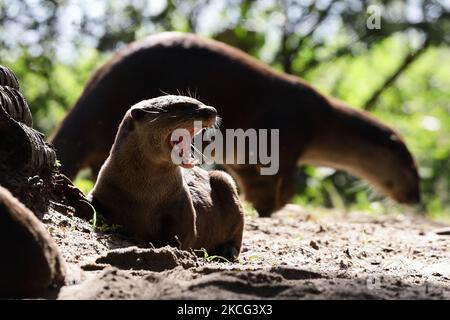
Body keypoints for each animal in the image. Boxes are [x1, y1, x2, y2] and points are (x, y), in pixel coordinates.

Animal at [51, 31, 420, 218]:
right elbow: (274, 185)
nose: (416, 196)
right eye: (412, 170)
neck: (320, 122)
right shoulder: (285, 137)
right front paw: (274, 209)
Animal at [88, 94, 243, 260]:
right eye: (180, 106)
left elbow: (185, 236)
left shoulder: (182, 202)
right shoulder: (103, 188)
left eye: (199, 102)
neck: (145, 195)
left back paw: (227, 251)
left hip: (223, 179)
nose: (212, 110)